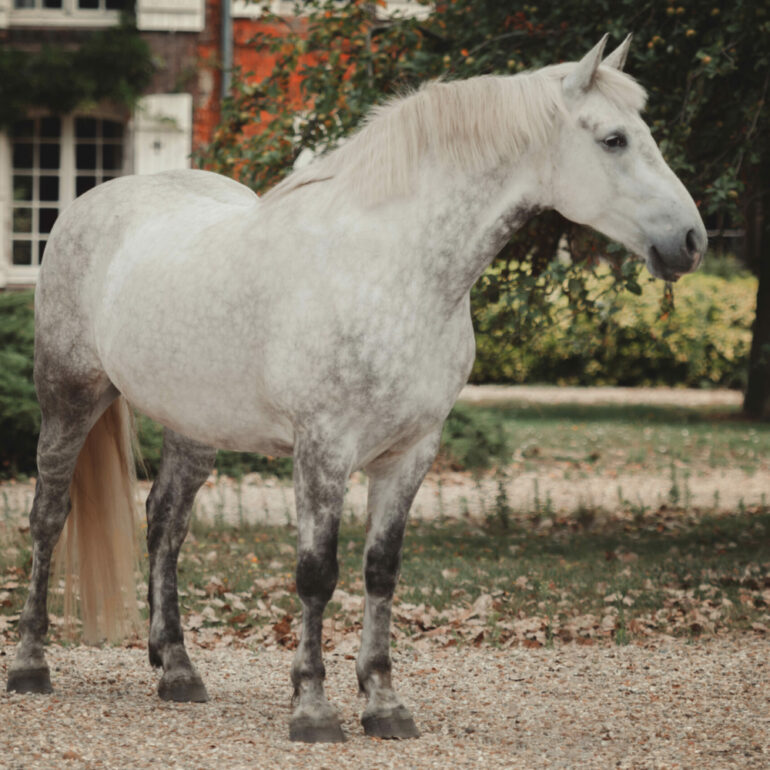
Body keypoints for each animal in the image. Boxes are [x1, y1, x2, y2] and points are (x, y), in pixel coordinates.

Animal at [6, 35, 706, 743]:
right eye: (615, 139)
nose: (691, 241)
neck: (394, 267)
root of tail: (88, 205)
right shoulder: (324, 450)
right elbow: (318, 574)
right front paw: (313, 709)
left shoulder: (411, 453)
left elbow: (380, 571)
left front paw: (384, 704)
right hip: (69, 399)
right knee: (49, 516)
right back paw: (32, 665)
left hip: (194, 427)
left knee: (164, 525)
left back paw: (177, 671)